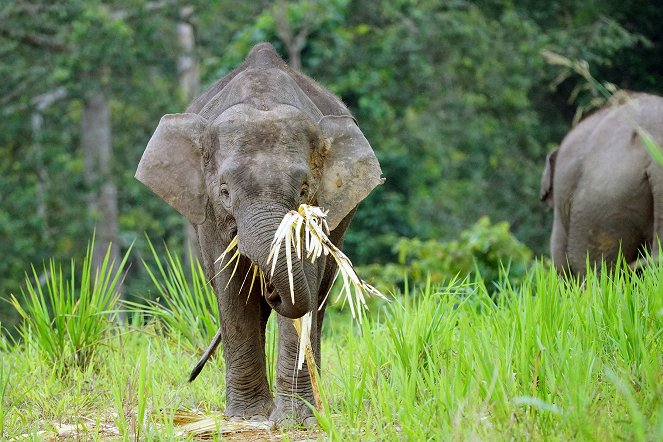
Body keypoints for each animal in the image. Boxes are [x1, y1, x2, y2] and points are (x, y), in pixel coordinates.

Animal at [135, 42, 384, 424]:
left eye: (303, 190)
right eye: (224, 192)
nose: (271, 289)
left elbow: (304, 280)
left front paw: (295, 420)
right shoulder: (210, 215)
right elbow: (232, 288)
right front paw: (248, 417)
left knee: (319, 297)